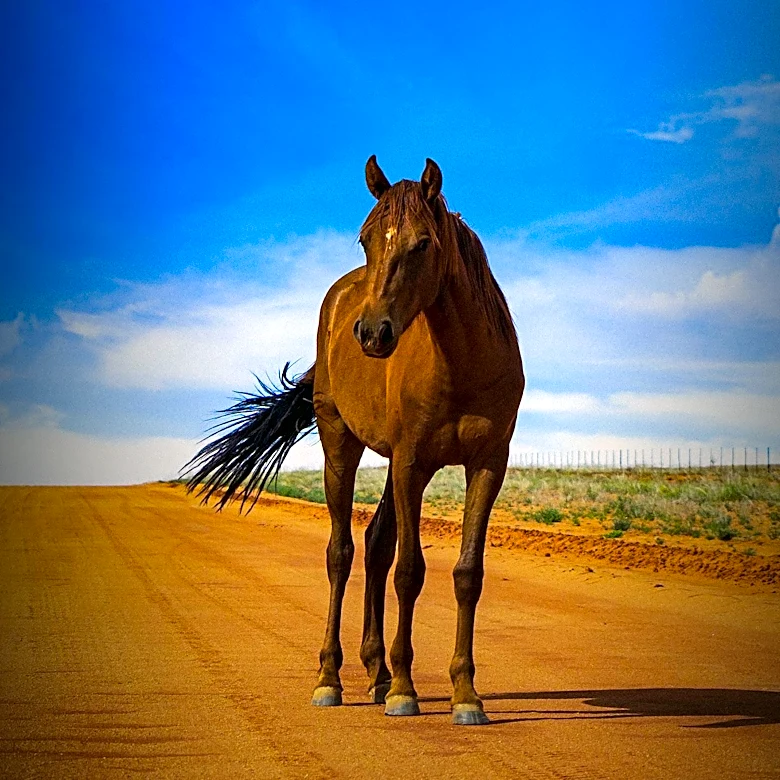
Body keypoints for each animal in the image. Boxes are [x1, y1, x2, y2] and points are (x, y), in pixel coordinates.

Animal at [184, 156, 524, 725]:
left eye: (423, 243)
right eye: (365, 239)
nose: (371, 333)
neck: (463, 362)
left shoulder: (485, 466)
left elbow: (466, 574)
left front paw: (465, 694)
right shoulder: (412, 463)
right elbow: (410, 571)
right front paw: (407, 692)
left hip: (392, 464)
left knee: (375, 544)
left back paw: (377, 672)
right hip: (340, 443)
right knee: (341, 552)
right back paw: (332, 678)